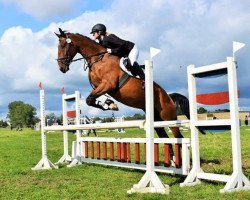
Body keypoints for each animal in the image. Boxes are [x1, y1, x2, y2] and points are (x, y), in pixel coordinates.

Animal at [55, 27, 193, 142]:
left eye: (63, 45)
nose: (61, 68)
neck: (98, 59)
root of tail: (169, 96)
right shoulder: (98, 86)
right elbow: (92, 99)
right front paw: (109, 104)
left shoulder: (108, 84)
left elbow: (90, 99)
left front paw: (110, 105)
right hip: (156, 119)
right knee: (165, 138)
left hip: (168, 117)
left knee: (179, 138)